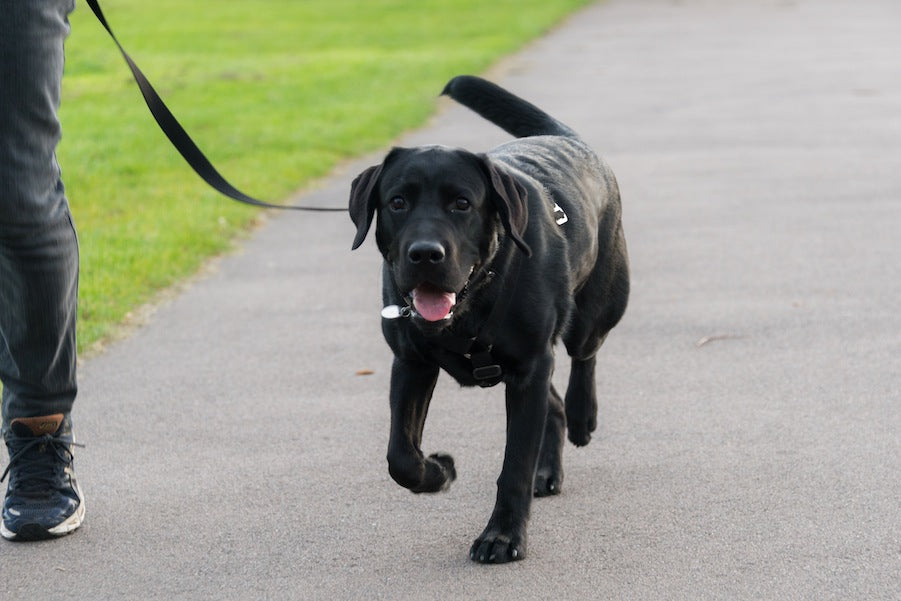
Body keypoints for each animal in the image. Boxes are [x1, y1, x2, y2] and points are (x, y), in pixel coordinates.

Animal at [348, 76, 628, 564]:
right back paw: (548, 469)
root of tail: (568, 139)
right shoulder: (411, 362)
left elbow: (514, 465)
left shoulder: (529, 368)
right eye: (397, 202)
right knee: (553, 403)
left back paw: (582, 415)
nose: (425, 254)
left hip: (600, 303)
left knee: (585, 354)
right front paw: (437, 471)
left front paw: (503, 536)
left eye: (462, 203)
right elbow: (400, 455)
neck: (473, 303)